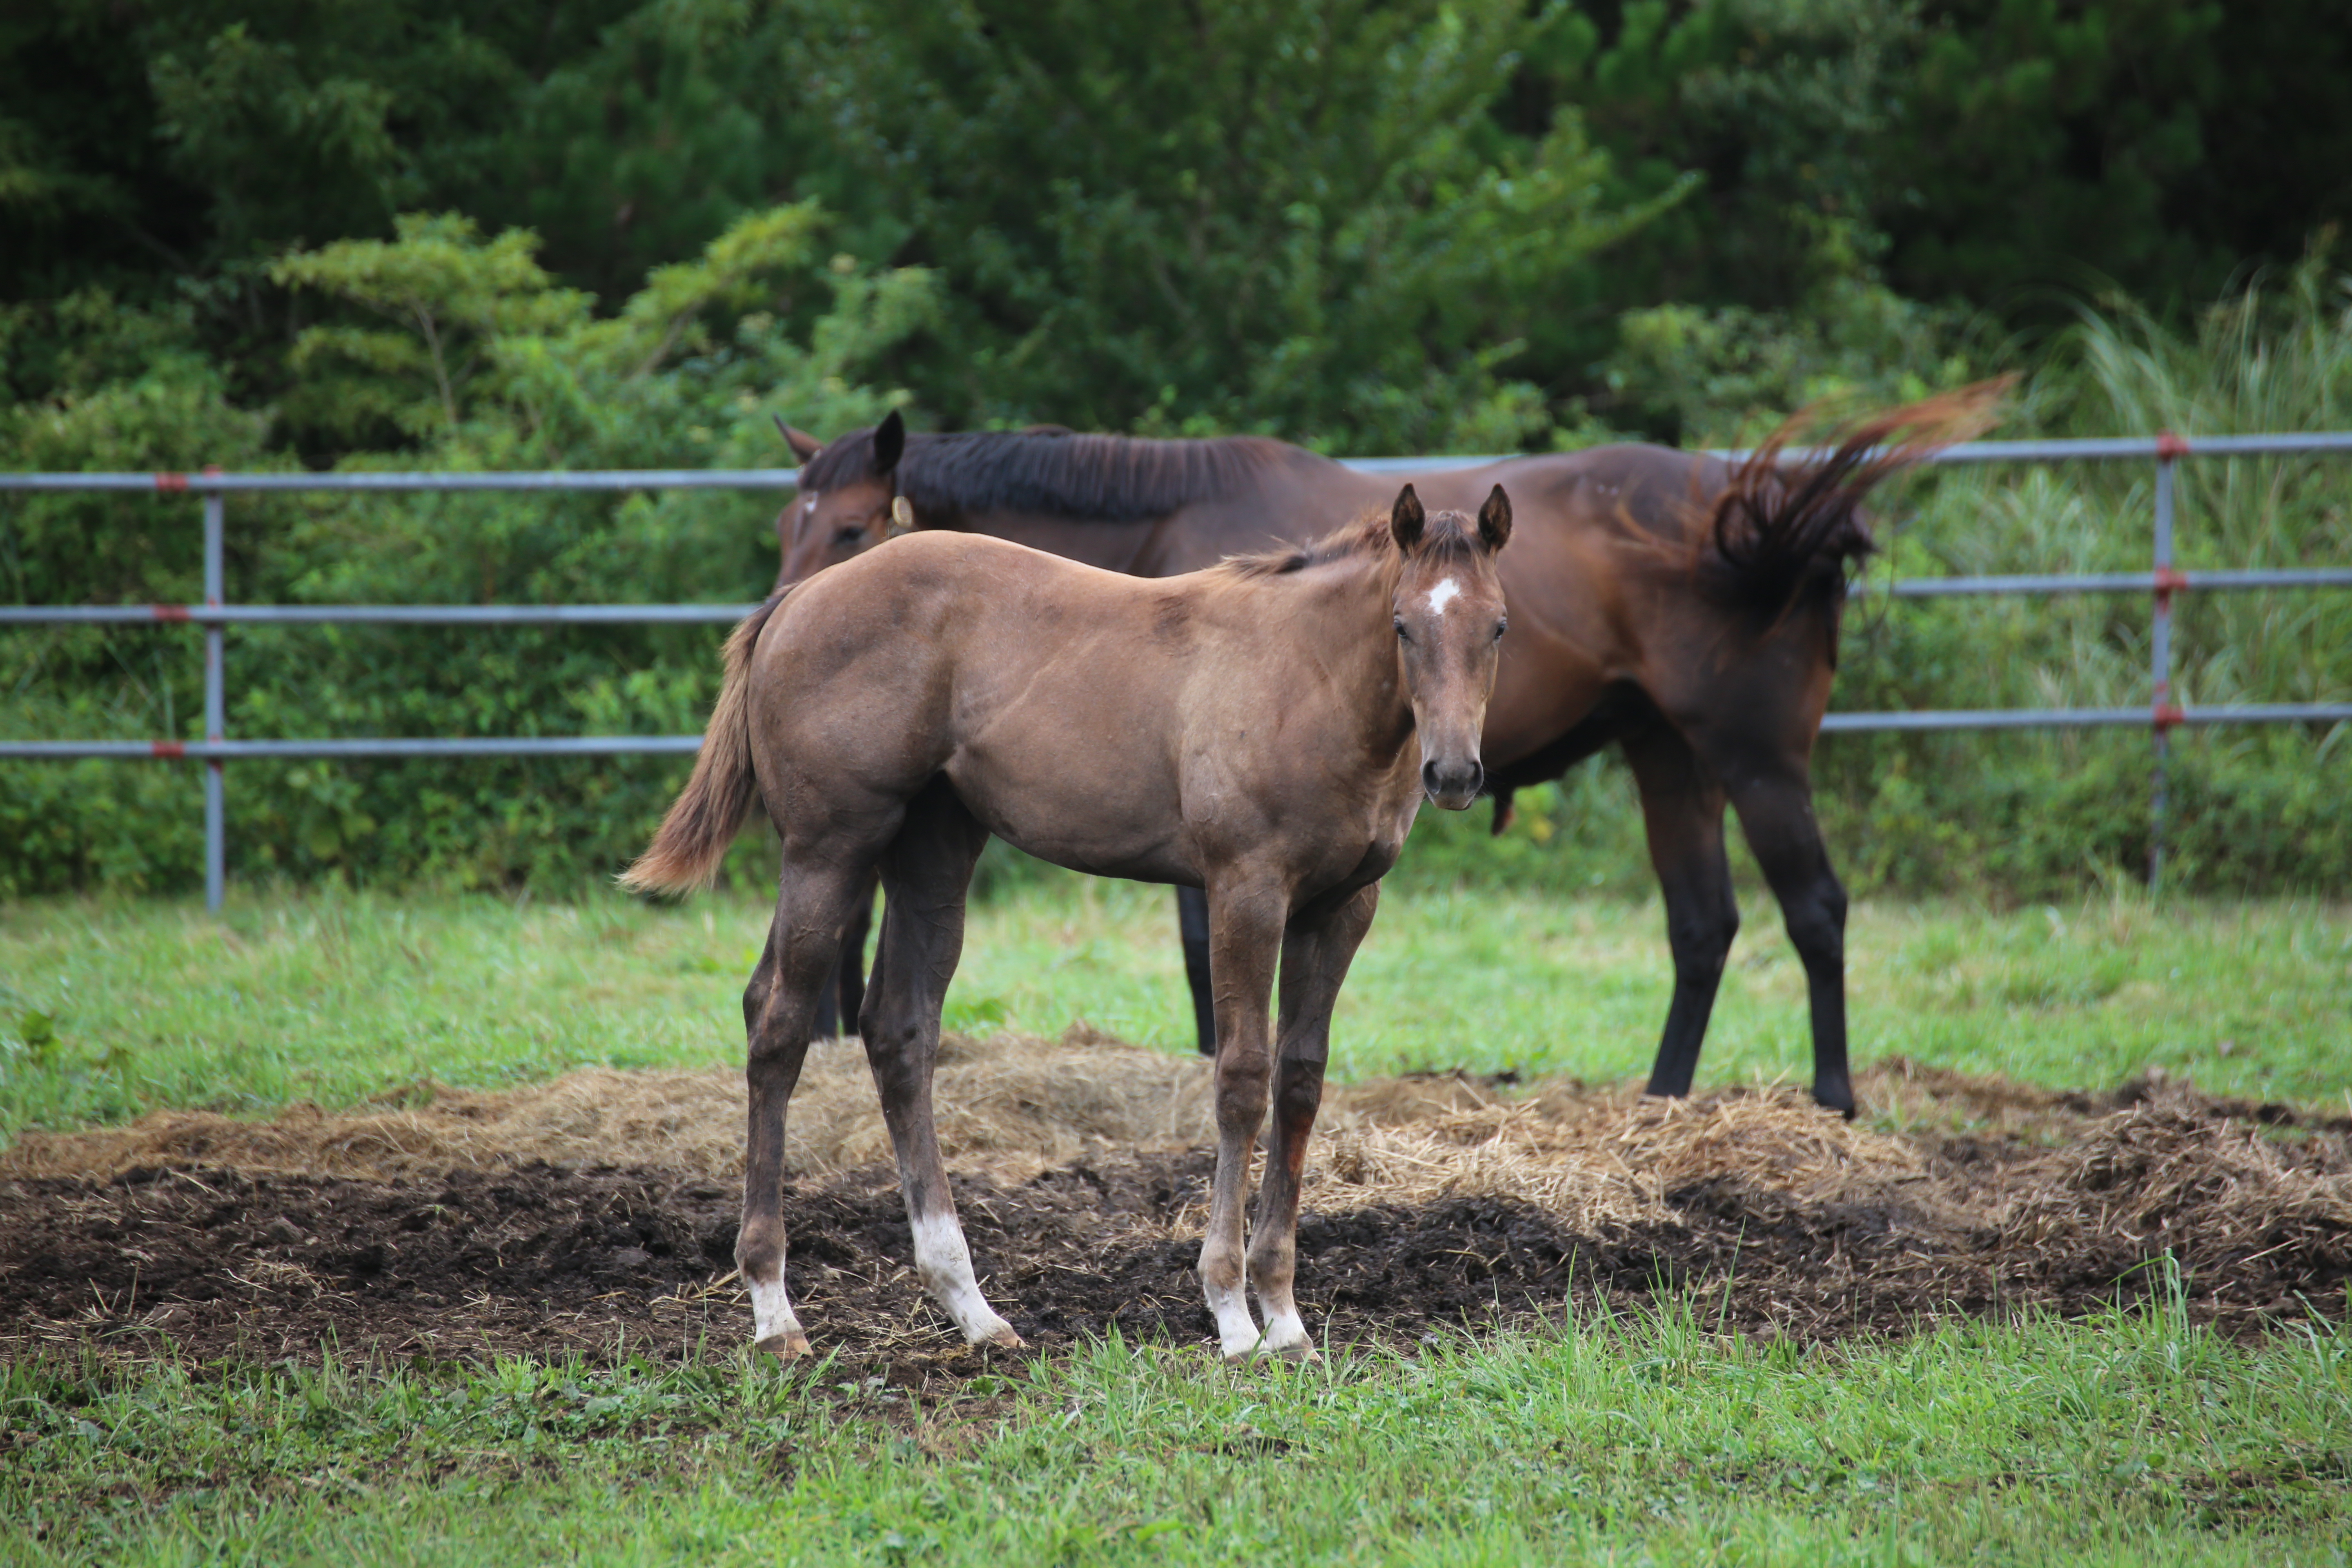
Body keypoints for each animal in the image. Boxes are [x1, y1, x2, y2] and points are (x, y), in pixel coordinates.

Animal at [626, 486, 1505, 1363]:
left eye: (1497, 626)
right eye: (1403, 624)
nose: (1454, 773)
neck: (1310, 676)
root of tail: (798, 599)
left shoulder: (1342, 908)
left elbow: (1300, 1085)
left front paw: (1287, 1321)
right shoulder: (1245, 890)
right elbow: (1242, 1083)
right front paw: (1232, 1313)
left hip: (931, 855)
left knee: (897, 1031)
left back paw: (972, 1308)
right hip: (829, 848)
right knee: (777, 1026)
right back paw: (774, 1309)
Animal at [781, 392, 1994, 1114]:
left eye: (848, 527)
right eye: (789, 524)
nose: (785, 620)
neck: (1167, 527)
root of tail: (1772, 519)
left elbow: (1203, 953)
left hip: (1754, 761)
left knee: (1814, 910)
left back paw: (1833, 1098)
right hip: (1667, 757)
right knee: (1703, 925)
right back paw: (1659, 1096)